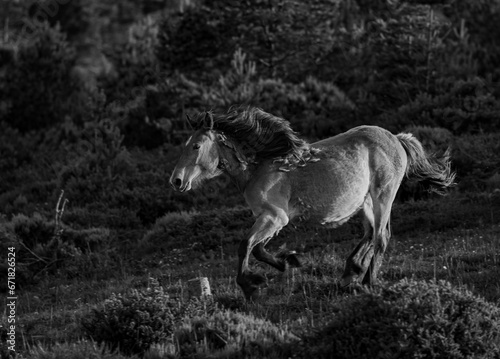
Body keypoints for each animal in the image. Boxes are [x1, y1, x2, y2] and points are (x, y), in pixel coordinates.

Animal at [170, 107, 456, 300]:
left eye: (196, 145)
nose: (176, 180)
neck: (258, 168)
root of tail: (397, 139)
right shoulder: (271, 219)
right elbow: (259, 248)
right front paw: (287, 262)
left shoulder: (274, 217)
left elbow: (246, 245)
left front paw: (251, 285)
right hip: (365, 201)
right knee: (371, 233)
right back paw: (351, 272)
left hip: (383, 196)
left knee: (380, 238)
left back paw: (367, 283)